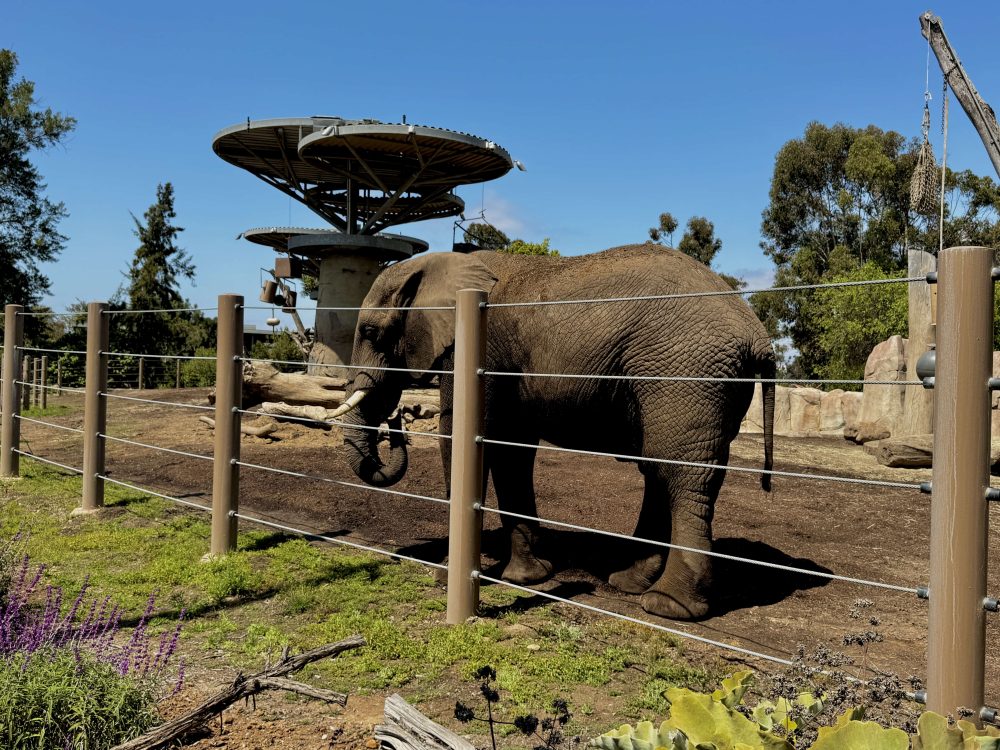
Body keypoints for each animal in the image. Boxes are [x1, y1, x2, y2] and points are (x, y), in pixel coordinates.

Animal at [335, 243, 775, 620]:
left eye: (371, 333)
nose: (398, 418)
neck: (442, 263)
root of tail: (758, 334)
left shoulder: (479, 351)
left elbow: (468, 436)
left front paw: (444, 577)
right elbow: (512, 451)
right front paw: (528, 578)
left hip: (686, 374)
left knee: (680, 473)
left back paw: (668, 607)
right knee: (661, 469)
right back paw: (629, 583)